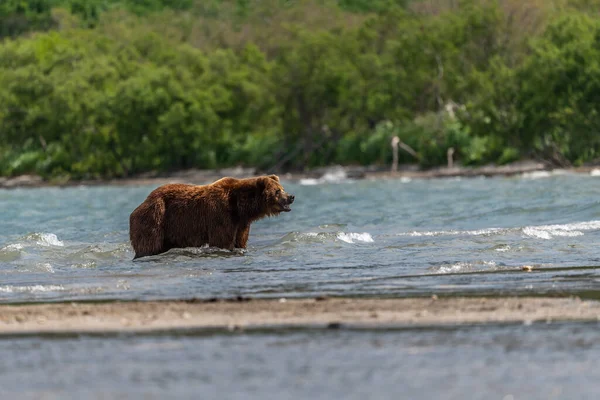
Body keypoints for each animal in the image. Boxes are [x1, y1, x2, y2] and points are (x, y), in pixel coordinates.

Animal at [129, 175, 296, 260]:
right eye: (277, 191)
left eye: (282, 188)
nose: (291, 197)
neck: (241, 207)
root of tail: (142, 203)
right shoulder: (221, 215)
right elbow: (222, 240)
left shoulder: (241, 223)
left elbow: (240, 241)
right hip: (155, 218)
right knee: (150, 244)